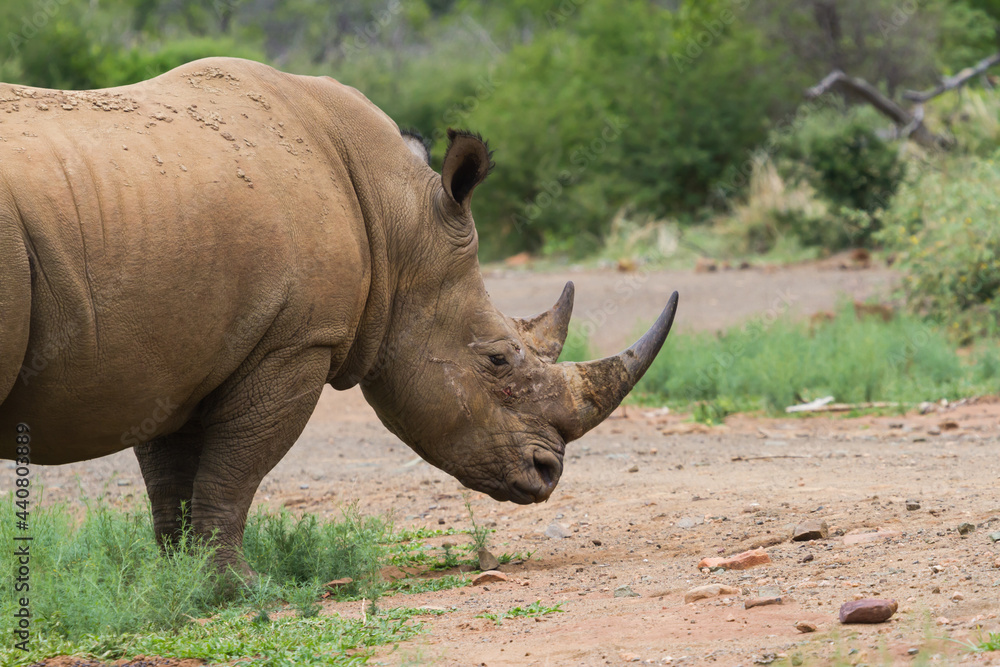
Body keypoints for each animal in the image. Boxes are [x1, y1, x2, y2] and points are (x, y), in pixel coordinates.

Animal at [0, 58, 677, 572]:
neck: (395, 222)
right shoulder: (296, 341)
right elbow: (234, 471)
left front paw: (179, 584)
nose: (547, 473)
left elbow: (172, 480)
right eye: (497, 359)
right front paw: (235, 590)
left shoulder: (171, 353)